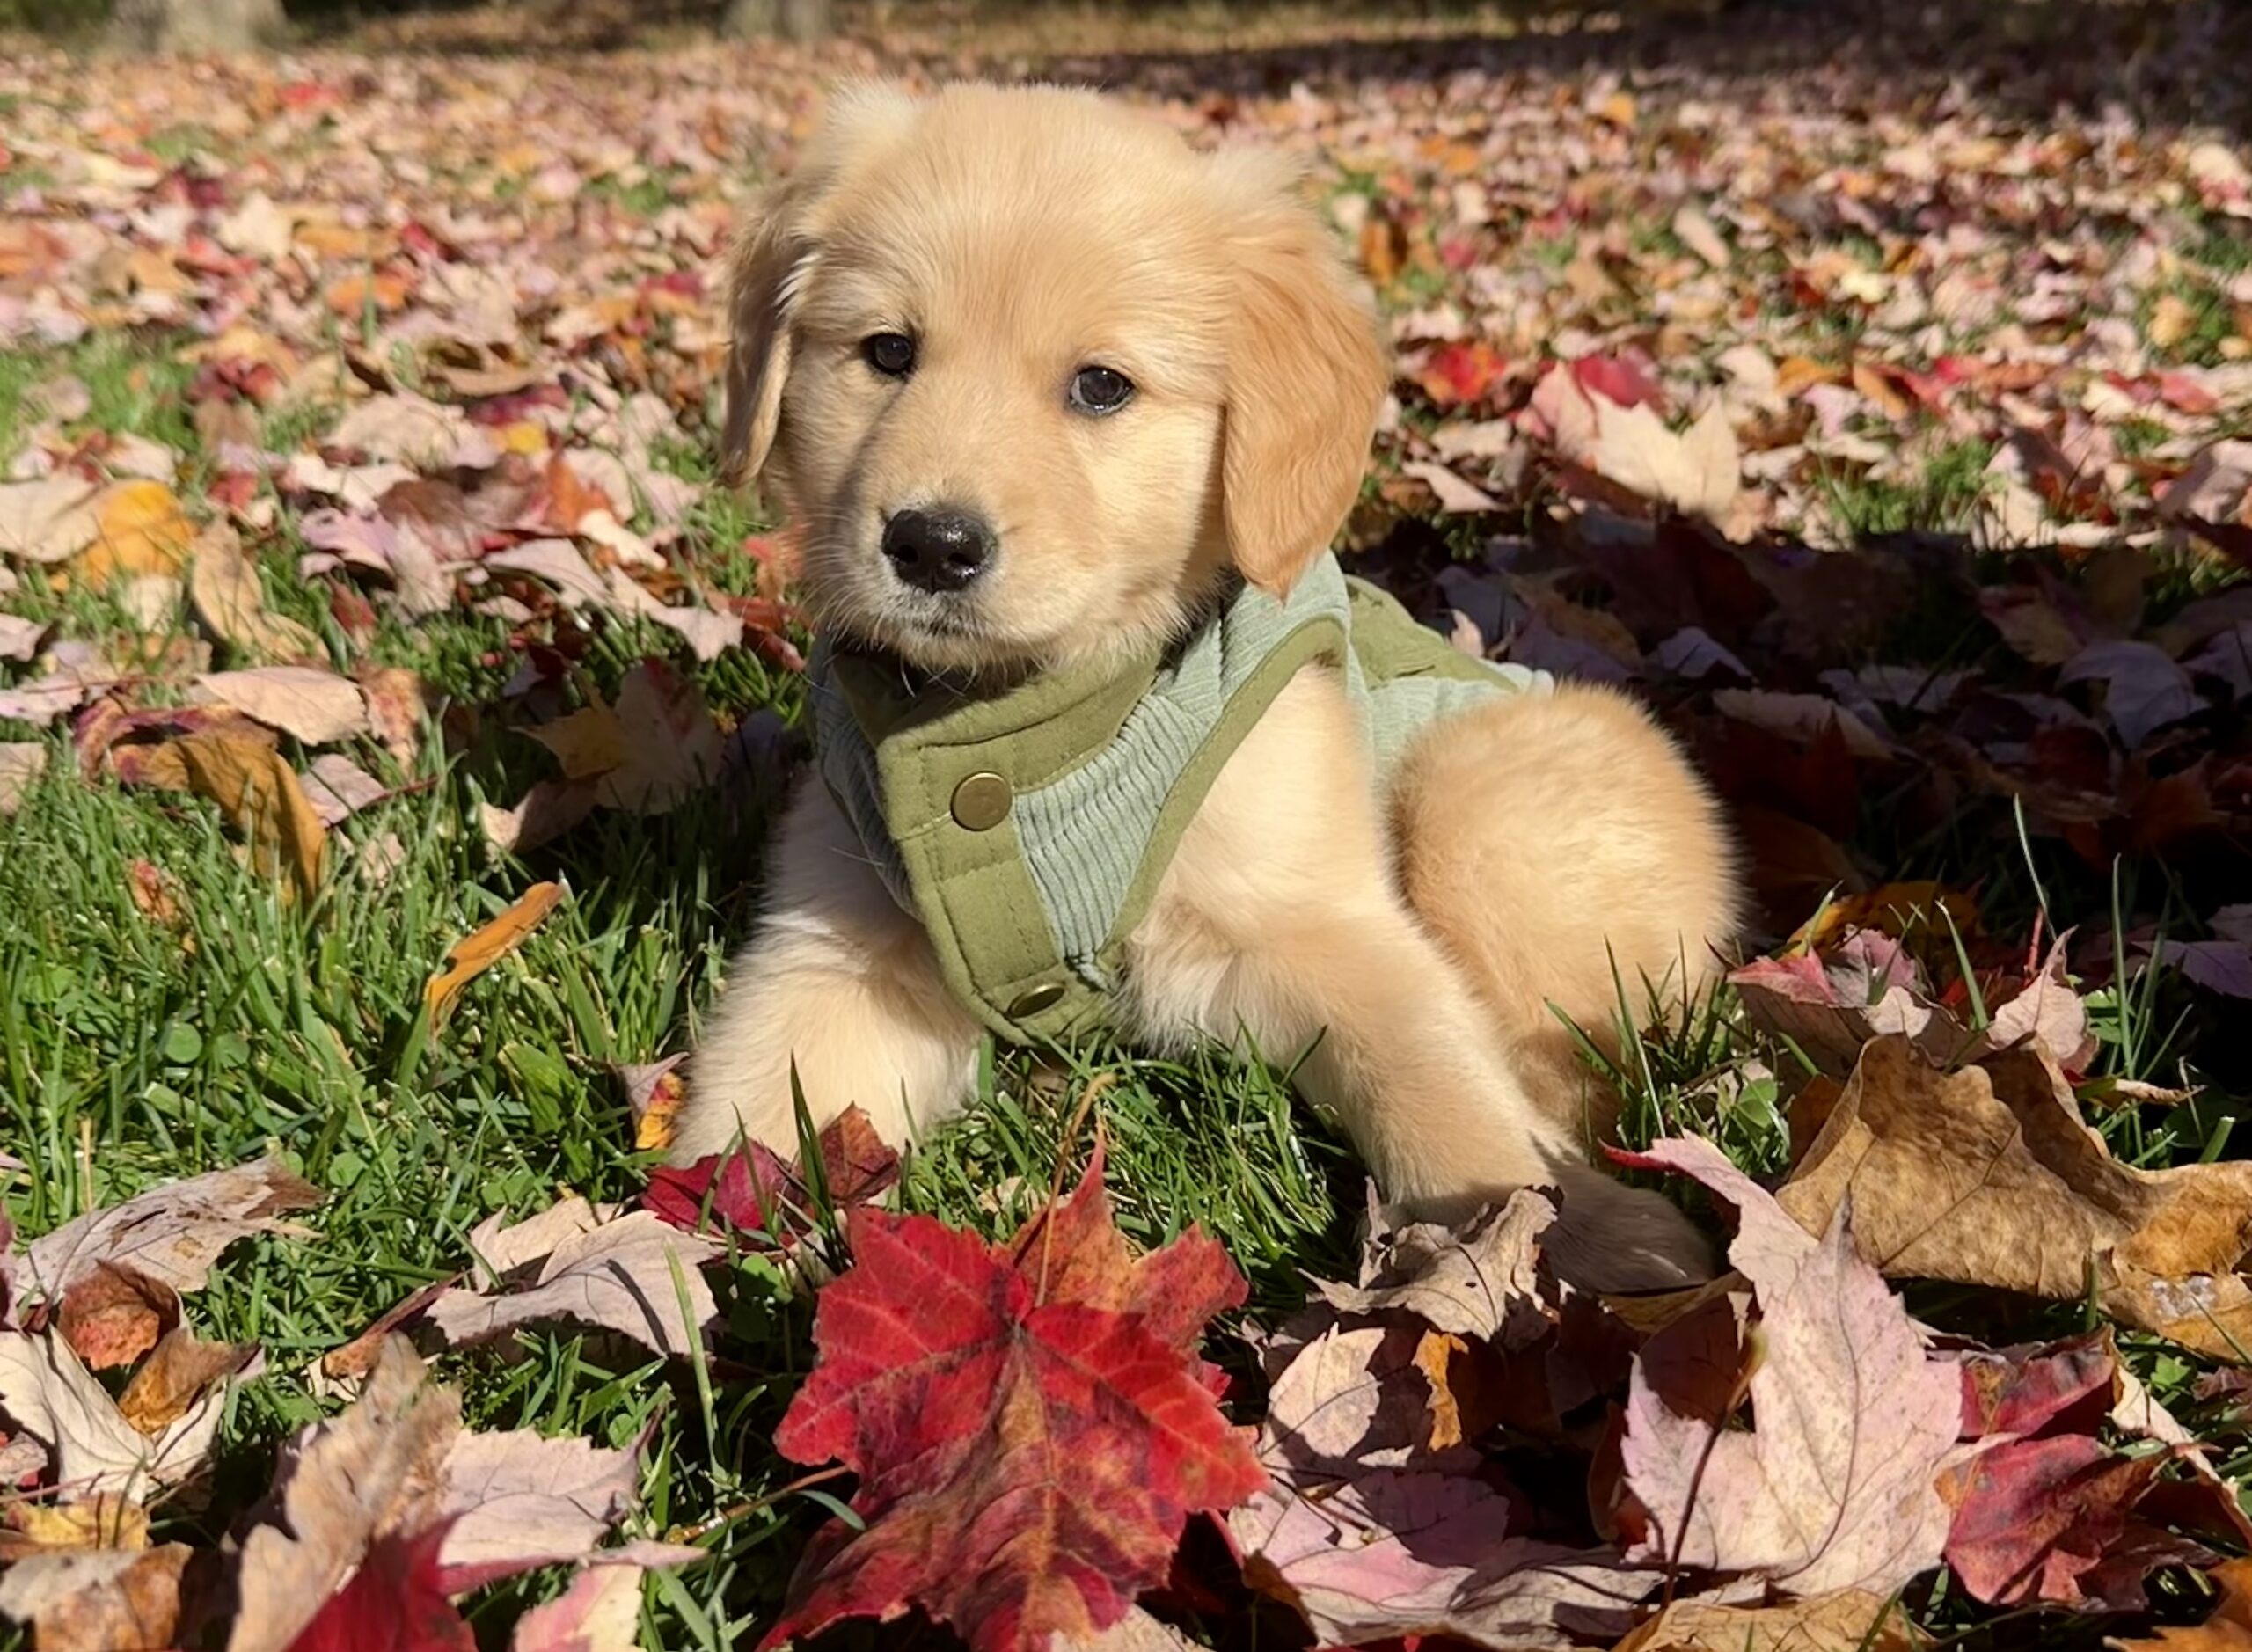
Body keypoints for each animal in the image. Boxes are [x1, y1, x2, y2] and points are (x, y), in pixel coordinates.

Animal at [676, 81, 1729, 1296]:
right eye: (887, 353)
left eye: (1101, 387)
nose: (932, 545)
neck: (1024, 720)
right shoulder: (840, 944)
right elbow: (752, 1112)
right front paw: (654, 1267)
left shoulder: (1322, 925)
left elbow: (1448, 1093)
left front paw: (1573, 1234)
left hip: (1481, 797)